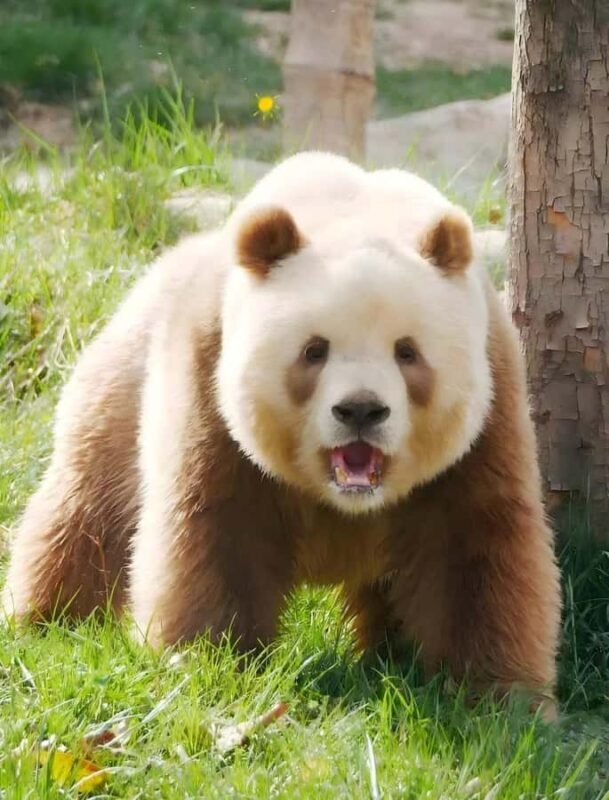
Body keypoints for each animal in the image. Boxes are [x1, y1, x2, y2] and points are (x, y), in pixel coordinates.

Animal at [3, 152, 560, 712]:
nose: (361, 410)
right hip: (126, 378)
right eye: (315, 350)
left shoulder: (490, 406)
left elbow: (470, 547)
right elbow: (217, 527)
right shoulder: (209, 379)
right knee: (85, 511)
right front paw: (209, 661)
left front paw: (497, 698)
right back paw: (48, 622)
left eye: (407, 352)